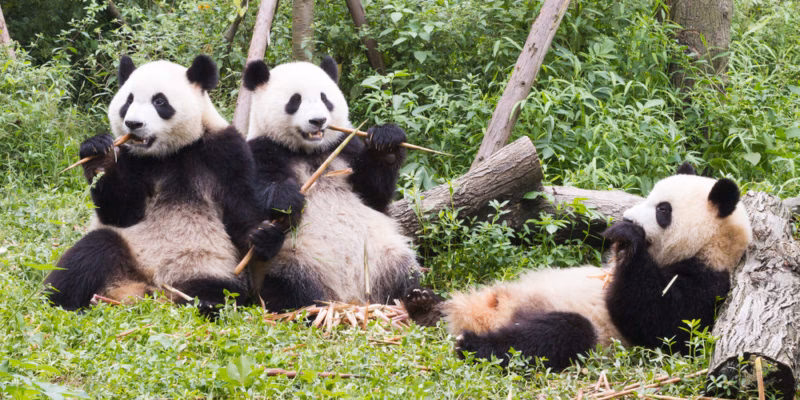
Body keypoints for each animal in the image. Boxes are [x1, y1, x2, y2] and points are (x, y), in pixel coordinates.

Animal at [44, 55, 279, 312]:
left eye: (159, 101)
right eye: (128, 100)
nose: (133, 124)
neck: (169, 153)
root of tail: (148, 288)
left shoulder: (225, 151)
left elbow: (240, 211)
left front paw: (264, 236)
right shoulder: (132, 158)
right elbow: (120, 213)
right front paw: (97, 152)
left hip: (206, 268)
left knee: (220, 291)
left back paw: (205, 302)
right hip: (128, 250)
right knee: (92, 251)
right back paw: (58, 300)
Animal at [242, 56, 421, 311]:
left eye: (325, 98)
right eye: (295, 101)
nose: (318, 121)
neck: (310, 152)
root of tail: (351, 299)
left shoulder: (345, 147)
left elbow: (374, 193)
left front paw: (386, 143)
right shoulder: (262, 149)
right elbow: (250, 199)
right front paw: (286, 200)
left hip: (383, 255)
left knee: (405, 274)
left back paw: (420, 300)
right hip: (296, 261)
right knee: (290, 289)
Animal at [404, 163, 752, 370]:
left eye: (663, 210)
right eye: (649, 196)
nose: (627, 218)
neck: (710, 247)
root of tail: (477, 316)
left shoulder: (708, 284)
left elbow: (662, 324)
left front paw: (628, 238)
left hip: (574, 327)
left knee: (557, 334)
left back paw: (473, 345)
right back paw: (425, 304)